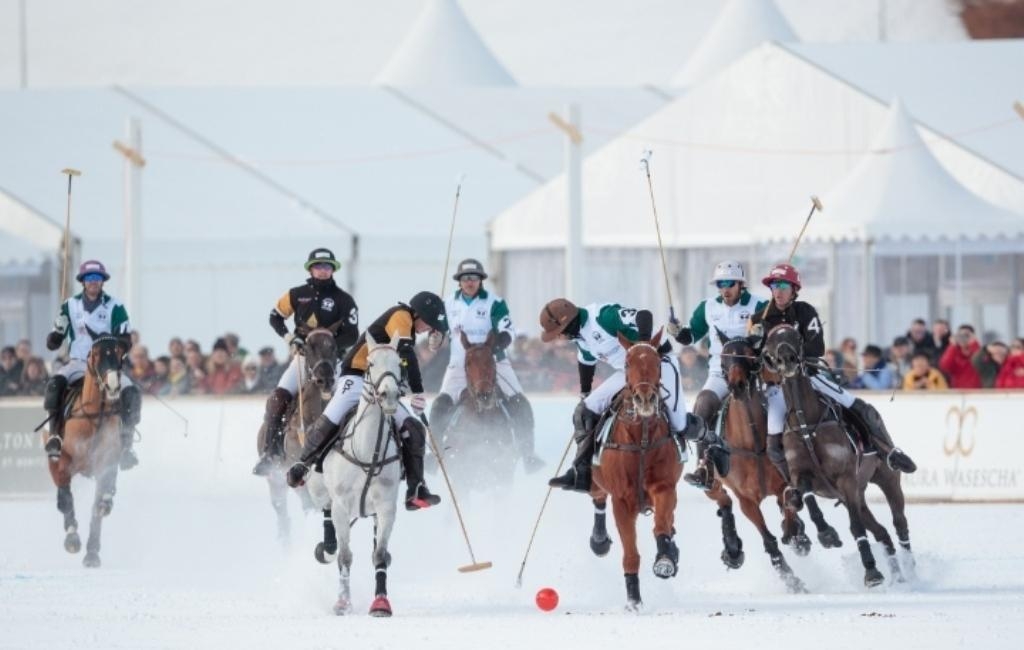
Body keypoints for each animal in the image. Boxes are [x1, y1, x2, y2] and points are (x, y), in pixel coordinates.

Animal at [45, 335, 128, 569]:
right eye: (96, 353)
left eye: (120, 352)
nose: (113, 385)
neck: (93, 416)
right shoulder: (64, 464)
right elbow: (66, 499)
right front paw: (72, 539)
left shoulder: (106, 465)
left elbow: (98, 508)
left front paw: (92, 554)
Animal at [311, 333, 403, 618]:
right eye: (370, 363)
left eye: (400, 362)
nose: (389, 395)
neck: (366, 452)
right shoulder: (341, 506)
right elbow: (345, 556)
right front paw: (342, 603)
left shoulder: (386, 507)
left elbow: (380, 555)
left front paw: (381, 603)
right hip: (319, 491)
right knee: (326, 517)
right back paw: (327, 547)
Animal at [589, 329, 684, 610]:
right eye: (627, 363)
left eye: (658, 363)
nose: (644, 399)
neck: (641, 438)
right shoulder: (621, 500)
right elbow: (630, 553)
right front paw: (633, 600)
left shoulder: (664, 487)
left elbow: (662, 525)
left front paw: (665, 559)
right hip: (595, 481)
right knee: (597, 497)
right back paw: (599, 541)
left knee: (670, 521)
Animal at [765, 323, 909, 585]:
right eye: (769, 341)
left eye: (797, 336)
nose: (788, 360)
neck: (806, 424)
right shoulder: (803, 475)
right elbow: (808, 499)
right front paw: (827, 534)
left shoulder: (846, 479)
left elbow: (856, 528)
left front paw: (872, 572)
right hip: (858, 494)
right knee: (882, 532)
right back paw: (899, 577)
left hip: (886, 478)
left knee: (899, 523)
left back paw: (911, 571)